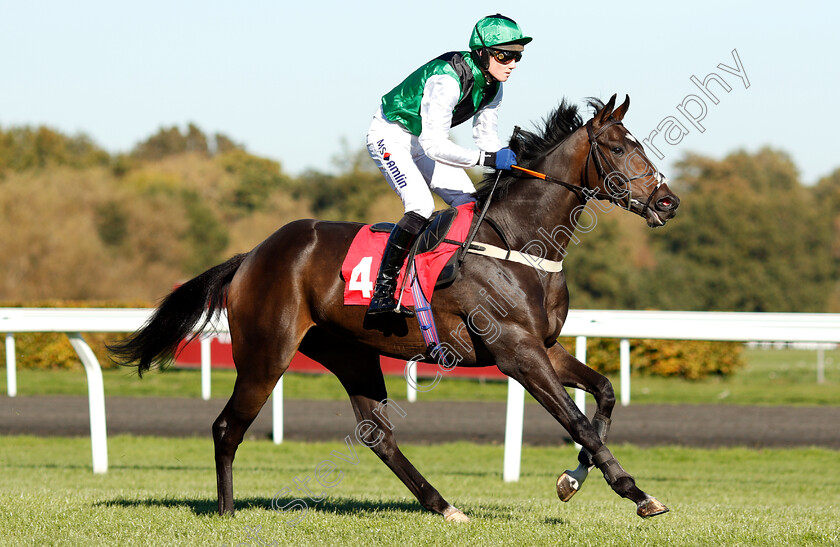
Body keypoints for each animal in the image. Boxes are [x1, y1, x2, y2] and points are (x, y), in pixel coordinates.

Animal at [108, 93, 680, 524]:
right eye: (617, 147)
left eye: (638, 144)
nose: (667, 202)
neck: (519, 243)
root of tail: (252, 255)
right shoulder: (515, 351)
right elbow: (577, 420)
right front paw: (635, 492)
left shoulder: (544, 346)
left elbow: (603, 395)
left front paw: (572, 478)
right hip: (266, 354)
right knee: (228, 427)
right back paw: (226, 512)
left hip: (350, 352)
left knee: (375, 435)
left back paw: (443, 505)